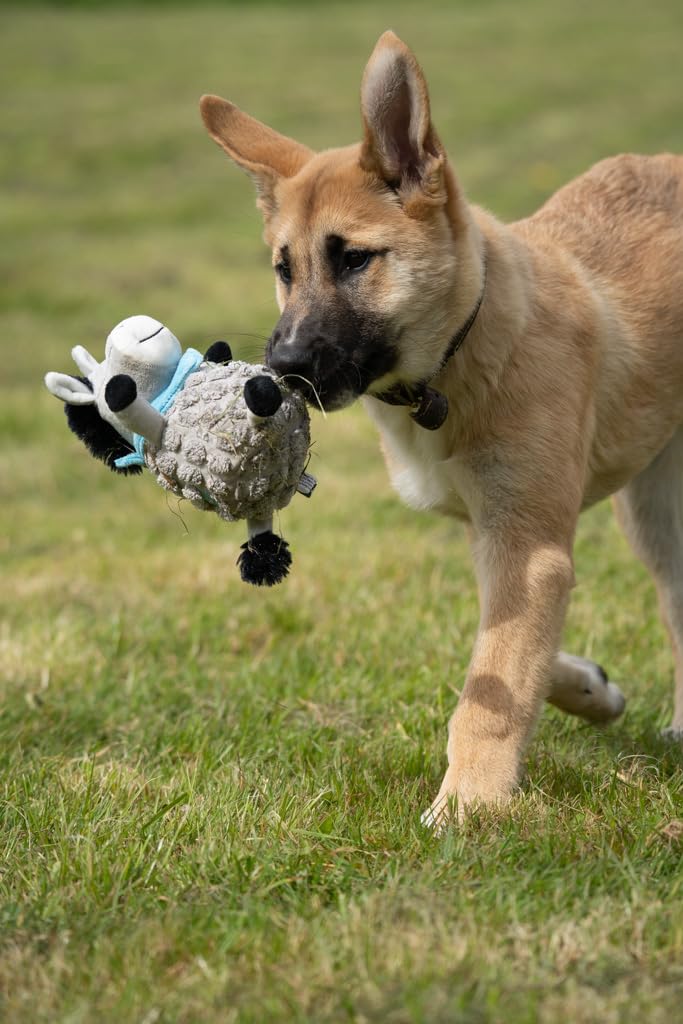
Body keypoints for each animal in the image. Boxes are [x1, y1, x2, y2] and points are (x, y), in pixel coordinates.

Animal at [200, 29, 683, 823]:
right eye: (283, 267)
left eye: (354, 259)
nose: (280, 372)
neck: (461, 352)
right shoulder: (496, 538)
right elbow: (508, 660)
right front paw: (590, 686)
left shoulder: (527, 546)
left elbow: (490, 688)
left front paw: (467, 809)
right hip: (654, 513)